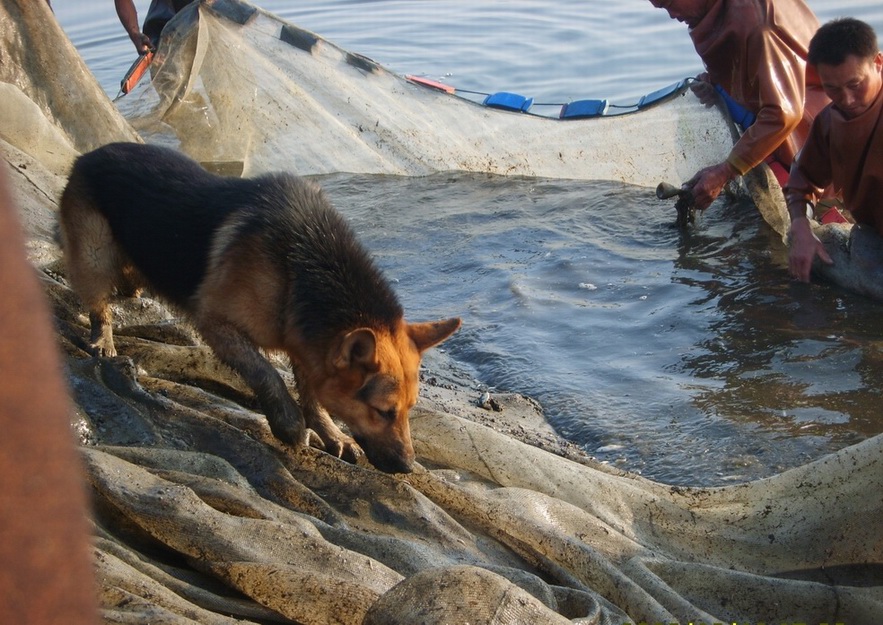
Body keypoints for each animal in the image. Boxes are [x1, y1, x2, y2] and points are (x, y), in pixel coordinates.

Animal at [58, 143, 460, 472]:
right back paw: (103, 339)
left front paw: (330, 433)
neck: (303, 262)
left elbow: (313, 394)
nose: (408, 467)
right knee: (98, 303)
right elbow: (266, 372)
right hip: (95, 254)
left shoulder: (305, 345)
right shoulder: (216, 323)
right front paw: (289, 423)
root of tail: (89, 155)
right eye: (383, 412)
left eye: (410, 410)